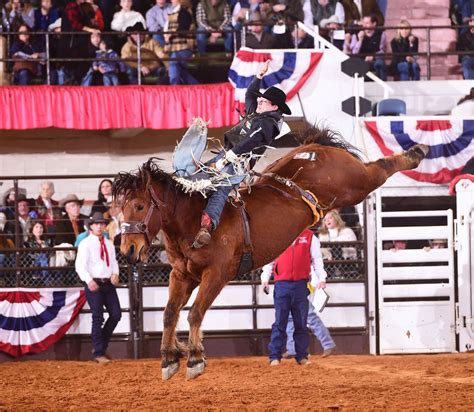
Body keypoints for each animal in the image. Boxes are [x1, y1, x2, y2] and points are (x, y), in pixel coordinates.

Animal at [112, 127, 430, 382]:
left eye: (139, 206)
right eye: (121, 207)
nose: (128, 249)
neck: (193, 220)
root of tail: (315, 149)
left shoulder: (217, 274)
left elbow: (194, 314)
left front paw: (194, 359)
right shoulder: (182, 275)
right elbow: (169, 314)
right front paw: (169, 358)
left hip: (356, 183)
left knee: (379, 168)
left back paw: (416, 152)